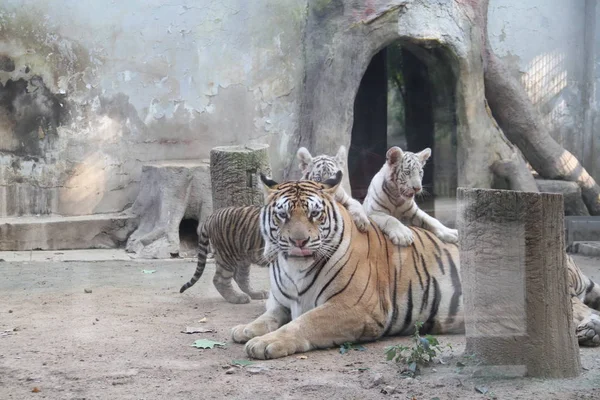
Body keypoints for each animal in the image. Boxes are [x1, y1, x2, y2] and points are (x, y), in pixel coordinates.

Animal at [176, 146, 368, 304]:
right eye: (318, 177)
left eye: (334, 173)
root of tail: (212, 216)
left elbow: (355, 205)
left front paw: (362, 221)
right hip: (226, 255)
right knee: (220, 280)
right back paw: (237, 298)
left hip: (243, 256)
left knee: (241, 277)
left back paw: (255, 294)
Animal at [231, 172, 600, 360]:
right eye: (282, 215)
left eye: (315, 214)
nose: (299, 242)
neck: (294, 269)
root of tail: (567, 258)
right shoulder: (281, 302)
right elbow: (267, 316)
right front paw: (245, 330)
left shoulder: (354, 308)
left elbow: (304, 323)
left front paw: (265, 343)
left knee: (577, 309)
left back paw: (588, 332)